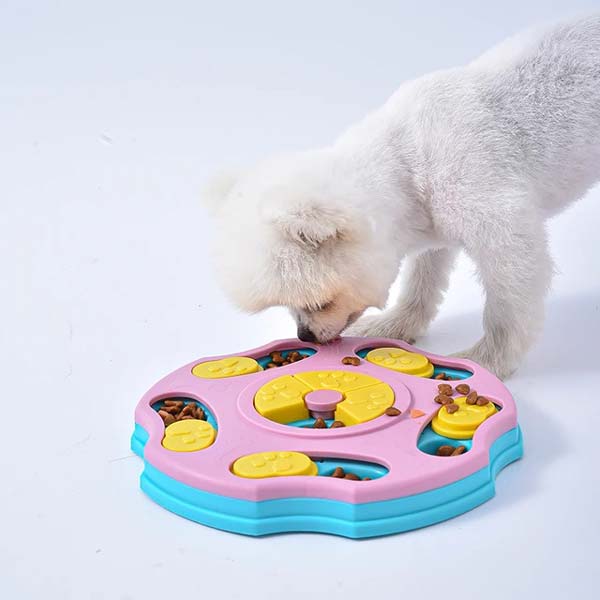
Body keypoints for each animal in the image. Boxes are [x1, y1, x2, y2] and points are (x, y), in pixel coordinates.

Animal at [202, 15, 600, 379]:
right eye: (290, 308)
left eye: (320, 302)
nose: (306, 335)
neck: (409, 160)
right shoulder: (434, 223)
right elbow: (424, 279)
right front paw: (396, 325)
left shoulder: (497, 217)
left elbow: (509, 302)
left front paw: (487, 360)